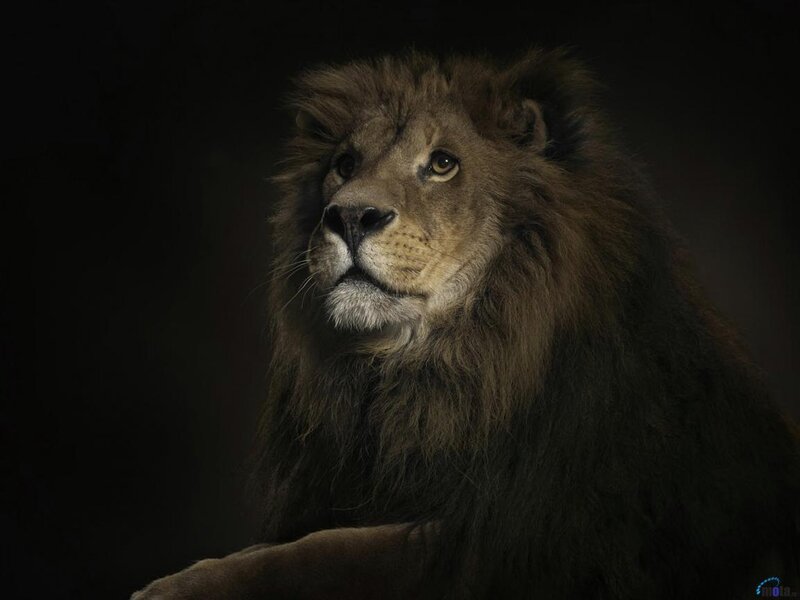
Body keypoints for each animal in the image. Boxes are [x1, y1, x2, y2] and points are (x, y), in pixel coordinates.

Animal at [133, 49, 799, 599]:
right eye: (344, 164)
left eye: (443, 164)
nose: (348, 216)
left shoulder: (495, 540)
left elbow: (310, 557)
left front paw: (169, 589)